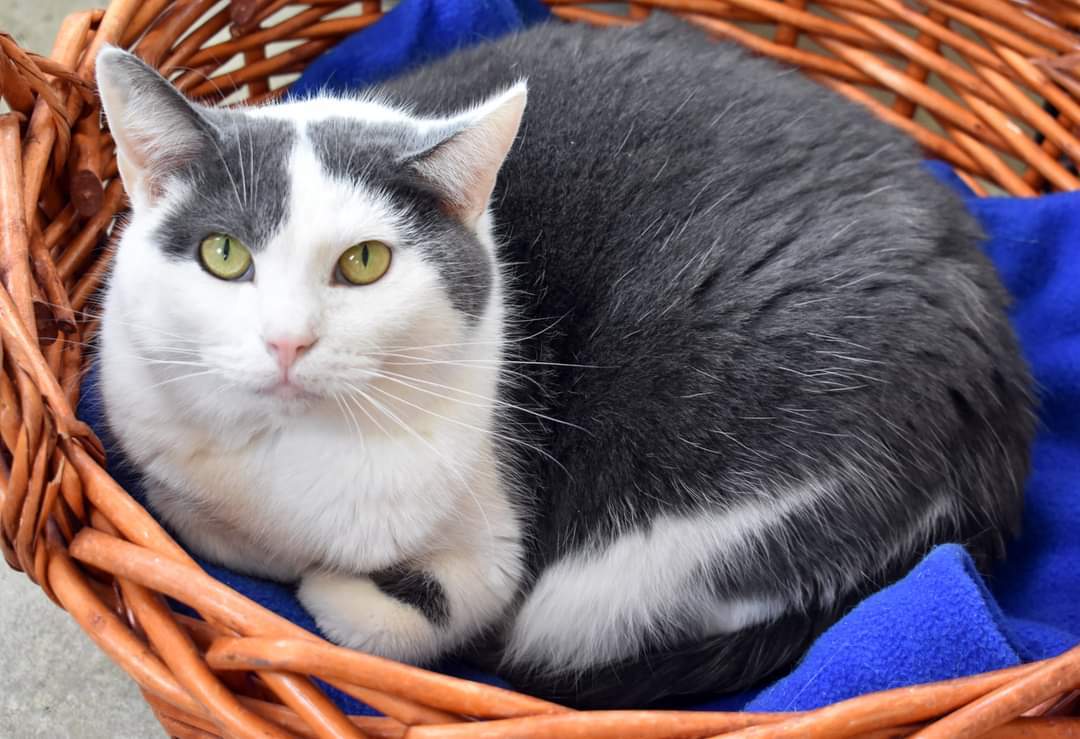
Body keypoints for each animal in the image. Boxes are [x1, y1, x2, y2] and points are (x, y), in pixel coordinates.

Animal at [97, 14, 1032, 708]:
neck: (290, 466)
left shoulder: (494, 545)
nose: (288, 340)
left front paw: (330, 589)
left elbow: (402, 616)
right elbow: (199, 526)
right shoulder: (161, 461)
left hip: (647, 546)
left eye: (364, 263)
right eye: (224, 254)